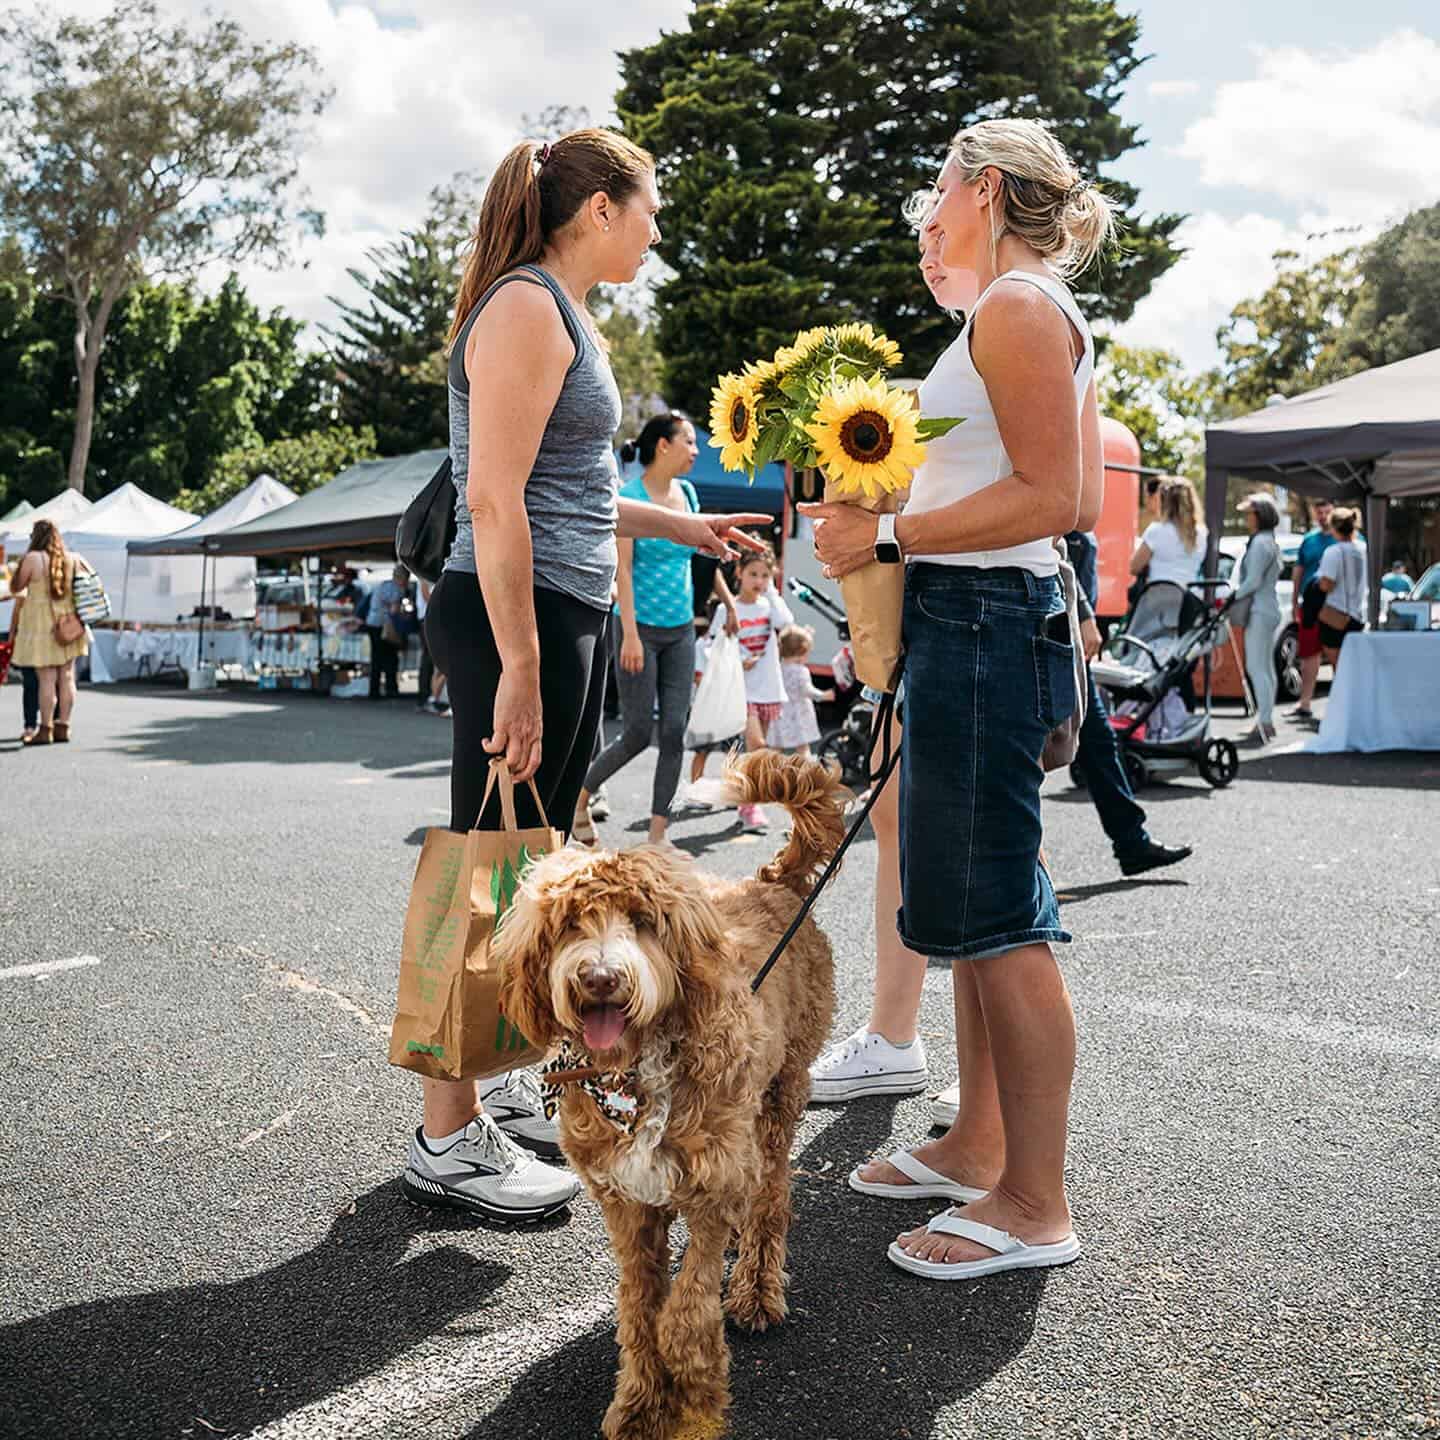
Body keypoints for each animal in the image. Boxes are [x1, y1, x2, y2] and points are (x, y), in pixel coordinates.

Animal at [501, 754, 846, 1440]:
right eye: (570, 924)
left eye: (642, 922)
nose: (599, 978)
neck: (636, 1076)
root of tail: (777, 882)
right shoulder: (626, 1200)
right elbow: (639, 1307)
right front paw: (640, 1400)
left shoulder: (711, 1183)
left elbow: (685, 1311)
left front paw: (693, 1391)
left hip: (780, 1093)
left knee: (771, 1196)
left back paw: (757, 1287)